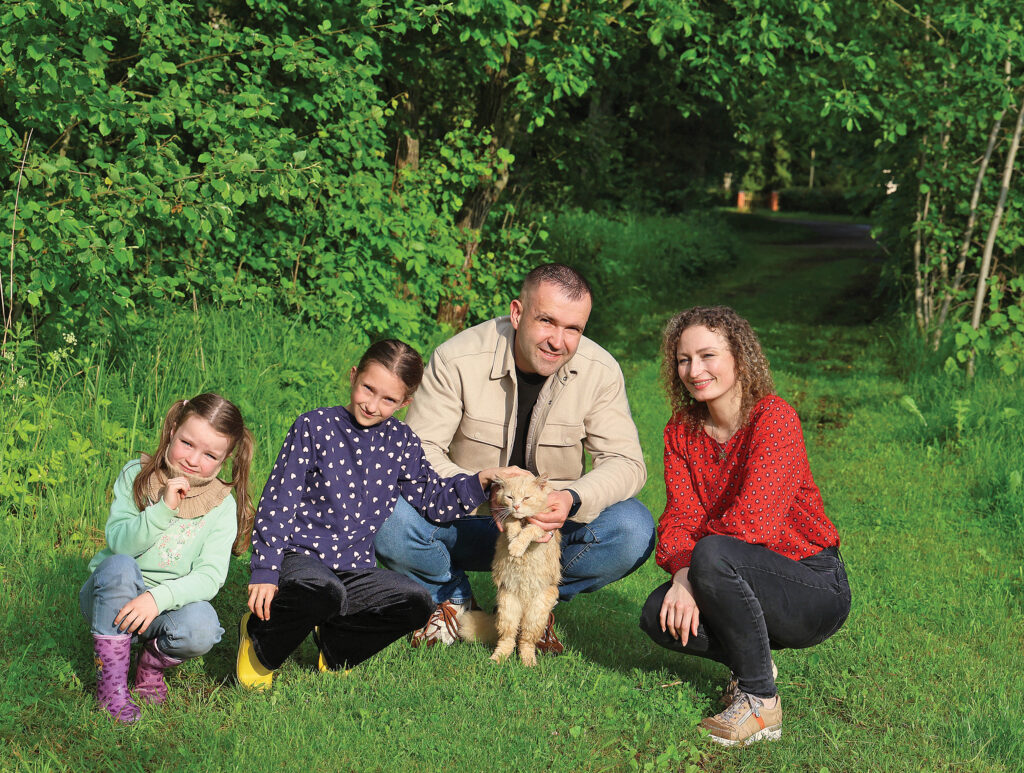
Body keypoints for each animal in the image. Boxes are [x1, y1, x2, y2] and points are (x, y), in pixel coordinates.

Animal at [458, 473, 562, 666]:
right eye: (510, 497)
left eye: (526, 498)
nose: (517, 506)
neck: (523, 518)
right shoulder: (504, 517)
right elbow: (512, 522)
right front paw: (513, 540)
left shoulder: (544, 525)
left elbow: (529, 530)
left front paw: (517, 546)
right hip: (508, 608)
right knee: (508, 639)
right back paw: (497, 659)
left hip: (535, 615)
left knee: (525, 641)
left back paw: (528, 662)